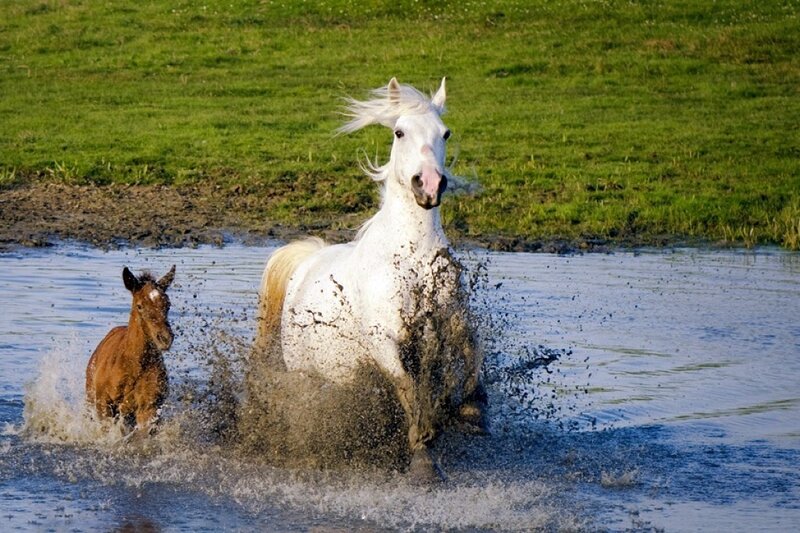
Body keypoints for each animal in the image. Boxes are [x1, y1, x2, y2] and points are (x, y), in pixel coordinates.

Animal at [85, 265, 176, 433]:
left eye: (167, 304)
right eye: (139, 306)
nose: (165, 338)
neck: (133, 366)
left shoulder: (148, 407)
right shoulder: (104, 404)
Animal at [255, 78, 487, 482]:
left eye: (445, 133)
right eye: (399, 132)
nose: (428, 185)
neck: (412, 258)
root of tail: (308, 261)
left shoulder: (450, 319)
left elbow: (473, 349)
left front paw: (474, 411)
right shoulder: (384, 339)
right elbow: (407, 387)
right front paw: (423, 451)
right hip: (305, 371)